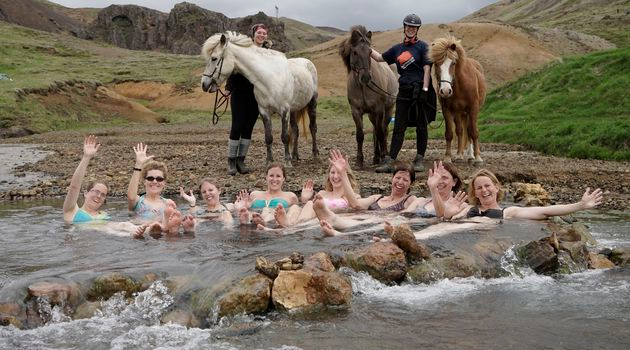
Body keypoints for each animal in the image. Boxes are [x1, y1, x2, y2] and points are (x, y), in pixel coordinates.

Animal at [202, 31, 320, 165]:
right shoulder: (264, 111)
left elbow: (285, 136)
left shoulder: (284, 110)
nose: (204, 84)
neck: (269, 78)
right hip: (294, 109)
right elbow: (268, 137)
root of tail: (307, 62)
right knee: (295, 130)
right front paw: (269, 161)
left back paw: (314, 154)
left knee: (312, 127)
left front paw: (286, 161)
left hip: (312, 103)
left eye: (214, 58)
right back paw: (295, 156)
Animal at [338, 25, 398, 167]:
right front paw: (359, 160)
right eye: (355, 52)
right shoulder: (356, 111)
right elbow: (360, 135)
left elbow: (381, 133)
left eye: (370, 52)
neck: (362, 87)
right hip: (372, 115)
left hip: (387, 110)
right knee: (376, 130)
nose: (366, 77)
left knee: (383, 130)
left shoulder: (379, 110)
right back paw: (376, 157)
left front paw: (383, 157)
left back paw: (384, 154)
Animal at [430, 35, 488, 164]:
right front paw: (448, 157)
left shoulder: (473, 108)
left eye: (453, 63)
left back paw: (471, 155)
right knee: (460, 131)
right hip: (459, 113)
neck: (460, 86)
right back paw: (460, 154)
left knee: (469, 130)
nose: (445, 91)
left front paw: (478, 157)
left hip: (468, 112)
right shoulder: (447, 110)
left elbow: (473, 131)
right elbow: (450, 133)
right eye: (436, 63)